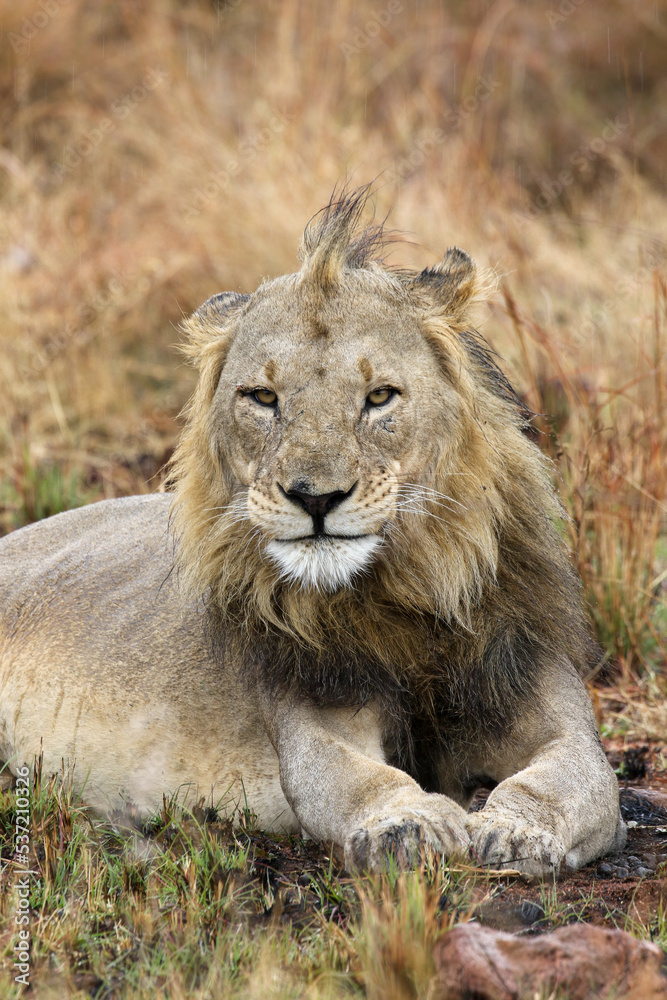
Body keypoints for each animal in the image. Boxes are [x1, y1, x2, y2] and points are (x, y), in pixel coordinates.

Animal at [0, 187, 625, 876]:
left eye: (379, 396)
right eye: (262, 397)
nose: (315, 497)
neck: (408, 593)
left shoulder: (540, 691)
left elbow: (575, 777)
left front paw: (517, 832)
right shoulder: (313, 708)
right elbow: (359, 779)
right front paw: (409, 824)